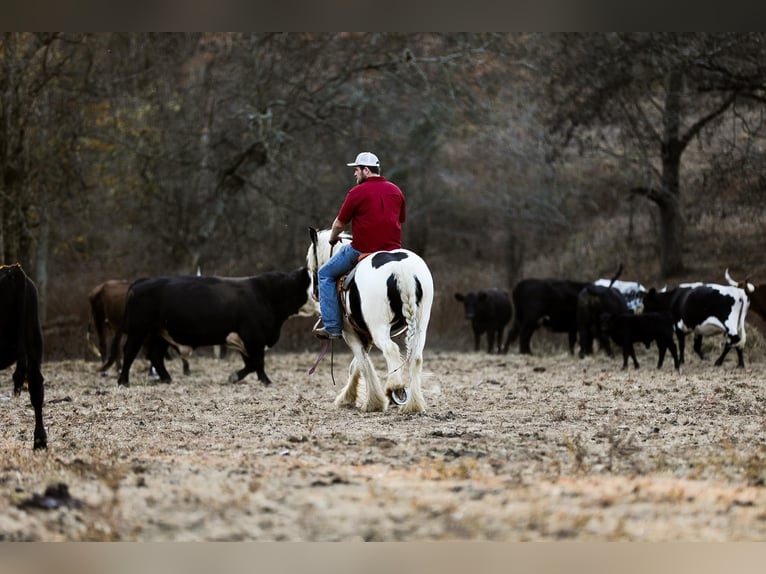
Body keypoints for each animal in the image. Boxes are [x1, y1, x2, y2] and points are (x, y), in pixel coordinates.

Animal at [117, 268, 316, 388]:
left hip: (160, 334)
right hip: (138, 330)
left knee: (155, 356)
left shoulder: (243, 341)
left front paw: (235, 376)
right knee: (129, 353)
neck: (267, 294)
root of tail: (141, 282)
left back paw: (167, 379)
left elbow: (251, 364)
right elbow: (258, 362)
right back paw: (123, 381)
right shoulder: (253, 338)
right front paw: (266, 381)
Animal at [308, 228, 436, 414]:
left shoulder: (350, 333)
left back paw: (395, 388)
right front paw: (349, 397)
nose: (314, 293)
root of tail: (400, 269)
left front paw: (370, 402)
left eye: (311, 264)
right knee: (416, 357)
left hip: (379, 328)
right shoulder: (366, 336)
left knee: (391, 349)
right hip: (420, 325)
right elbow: (356, 365)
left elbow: (361, 363)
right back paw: (414, 404)